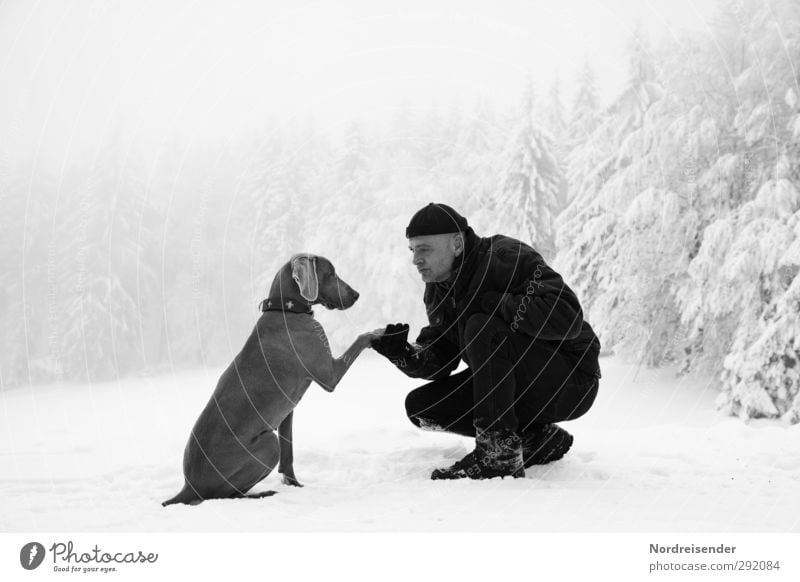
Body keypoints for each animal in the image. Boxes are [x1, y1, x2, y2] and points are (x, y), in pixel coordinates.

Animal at [162, 254, 378, 506]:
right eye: (331, 273)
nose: (356, 294)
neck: (288, 310)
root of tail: (189, 487)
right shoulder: (330, 375)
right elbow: (361, 337)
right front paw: (380, 331)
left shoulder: (287, 413)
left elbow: (289, 453)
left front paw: (294, 484)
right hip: (267, 444)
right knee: (226, 495)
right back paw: (260, 494)